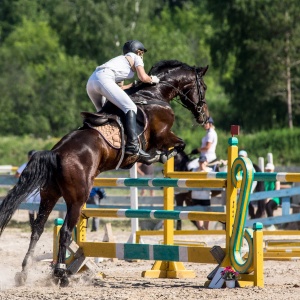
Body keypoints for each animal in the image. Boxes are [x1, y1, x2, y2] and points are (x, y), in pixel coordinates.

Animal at [0, 59, 210, 288]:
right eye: (204, 87)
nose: (205, 117)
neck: (155, 93)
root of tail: (55, 153)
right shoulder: (163, 134)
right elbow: (179, 144)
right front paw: (160, 157)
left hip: (49, 195)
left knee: (37, 228)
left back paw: (24, 273)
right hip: (77, 199)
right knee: (64, 232)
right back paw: (61, 274)